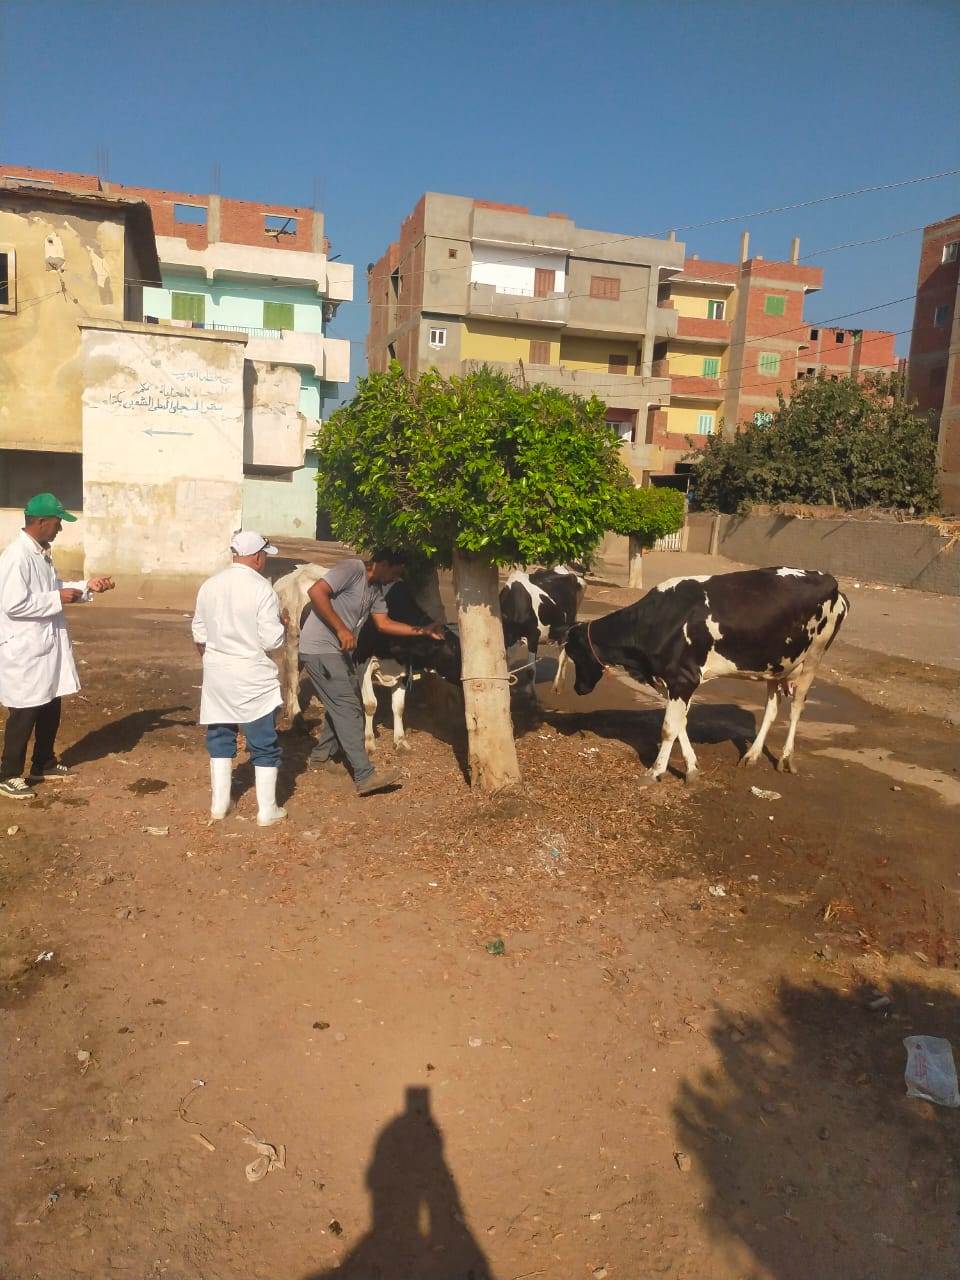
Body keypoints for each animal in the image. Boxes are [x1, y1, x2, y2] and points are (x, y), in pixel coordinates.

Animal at [356, 581, 462, 752]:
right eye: (452, 652)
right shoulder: (362, 663)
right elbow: (370, 704)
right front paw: (369, 743)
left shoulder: (404, 670)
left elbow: (399, 707)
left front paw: (400, 741)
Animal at [499, 565, 586, 694]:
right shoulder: (510, 638)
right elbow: (508, 666)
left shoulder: (533, 636)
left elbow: (530, 670)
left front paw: (532, 695)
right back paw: (561, 684)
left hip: (570, 622)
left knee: (563, 656)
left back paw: (557, 687)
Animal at [560, 567, 849, 784]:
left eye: (575, 654)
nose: (578, 688)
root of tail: (829, 580)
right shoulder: (675, 682)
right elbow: (680, 724)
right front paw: (691, 769)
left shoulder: (683, 679)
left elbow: (669, 727)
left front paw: (655, 772)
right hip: (777, 665)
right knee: (772, 710)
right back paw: (752, 755)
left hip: (813, 657)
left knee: (797, 707)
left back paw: (787, 759)